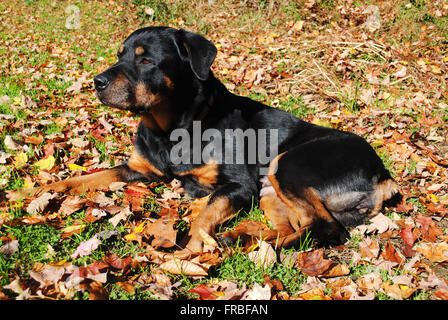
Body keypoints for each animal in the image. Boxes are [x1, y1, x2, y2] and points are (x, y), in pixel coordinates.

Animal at [7, 26, 400, 258]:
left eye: (146, 60)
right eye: (120, 55)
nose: (97, 81)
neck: (170, 130)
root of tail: (384, 176)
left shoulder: (238, 186)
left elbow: (202, 215)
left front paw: (187, 253)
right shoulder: (138, 169)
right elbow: (82, 178)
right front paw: (27, 192)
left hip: (287, 165)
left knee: (325, 227)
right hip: (271, 191)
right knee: (299, 226)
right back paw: (243, 239)